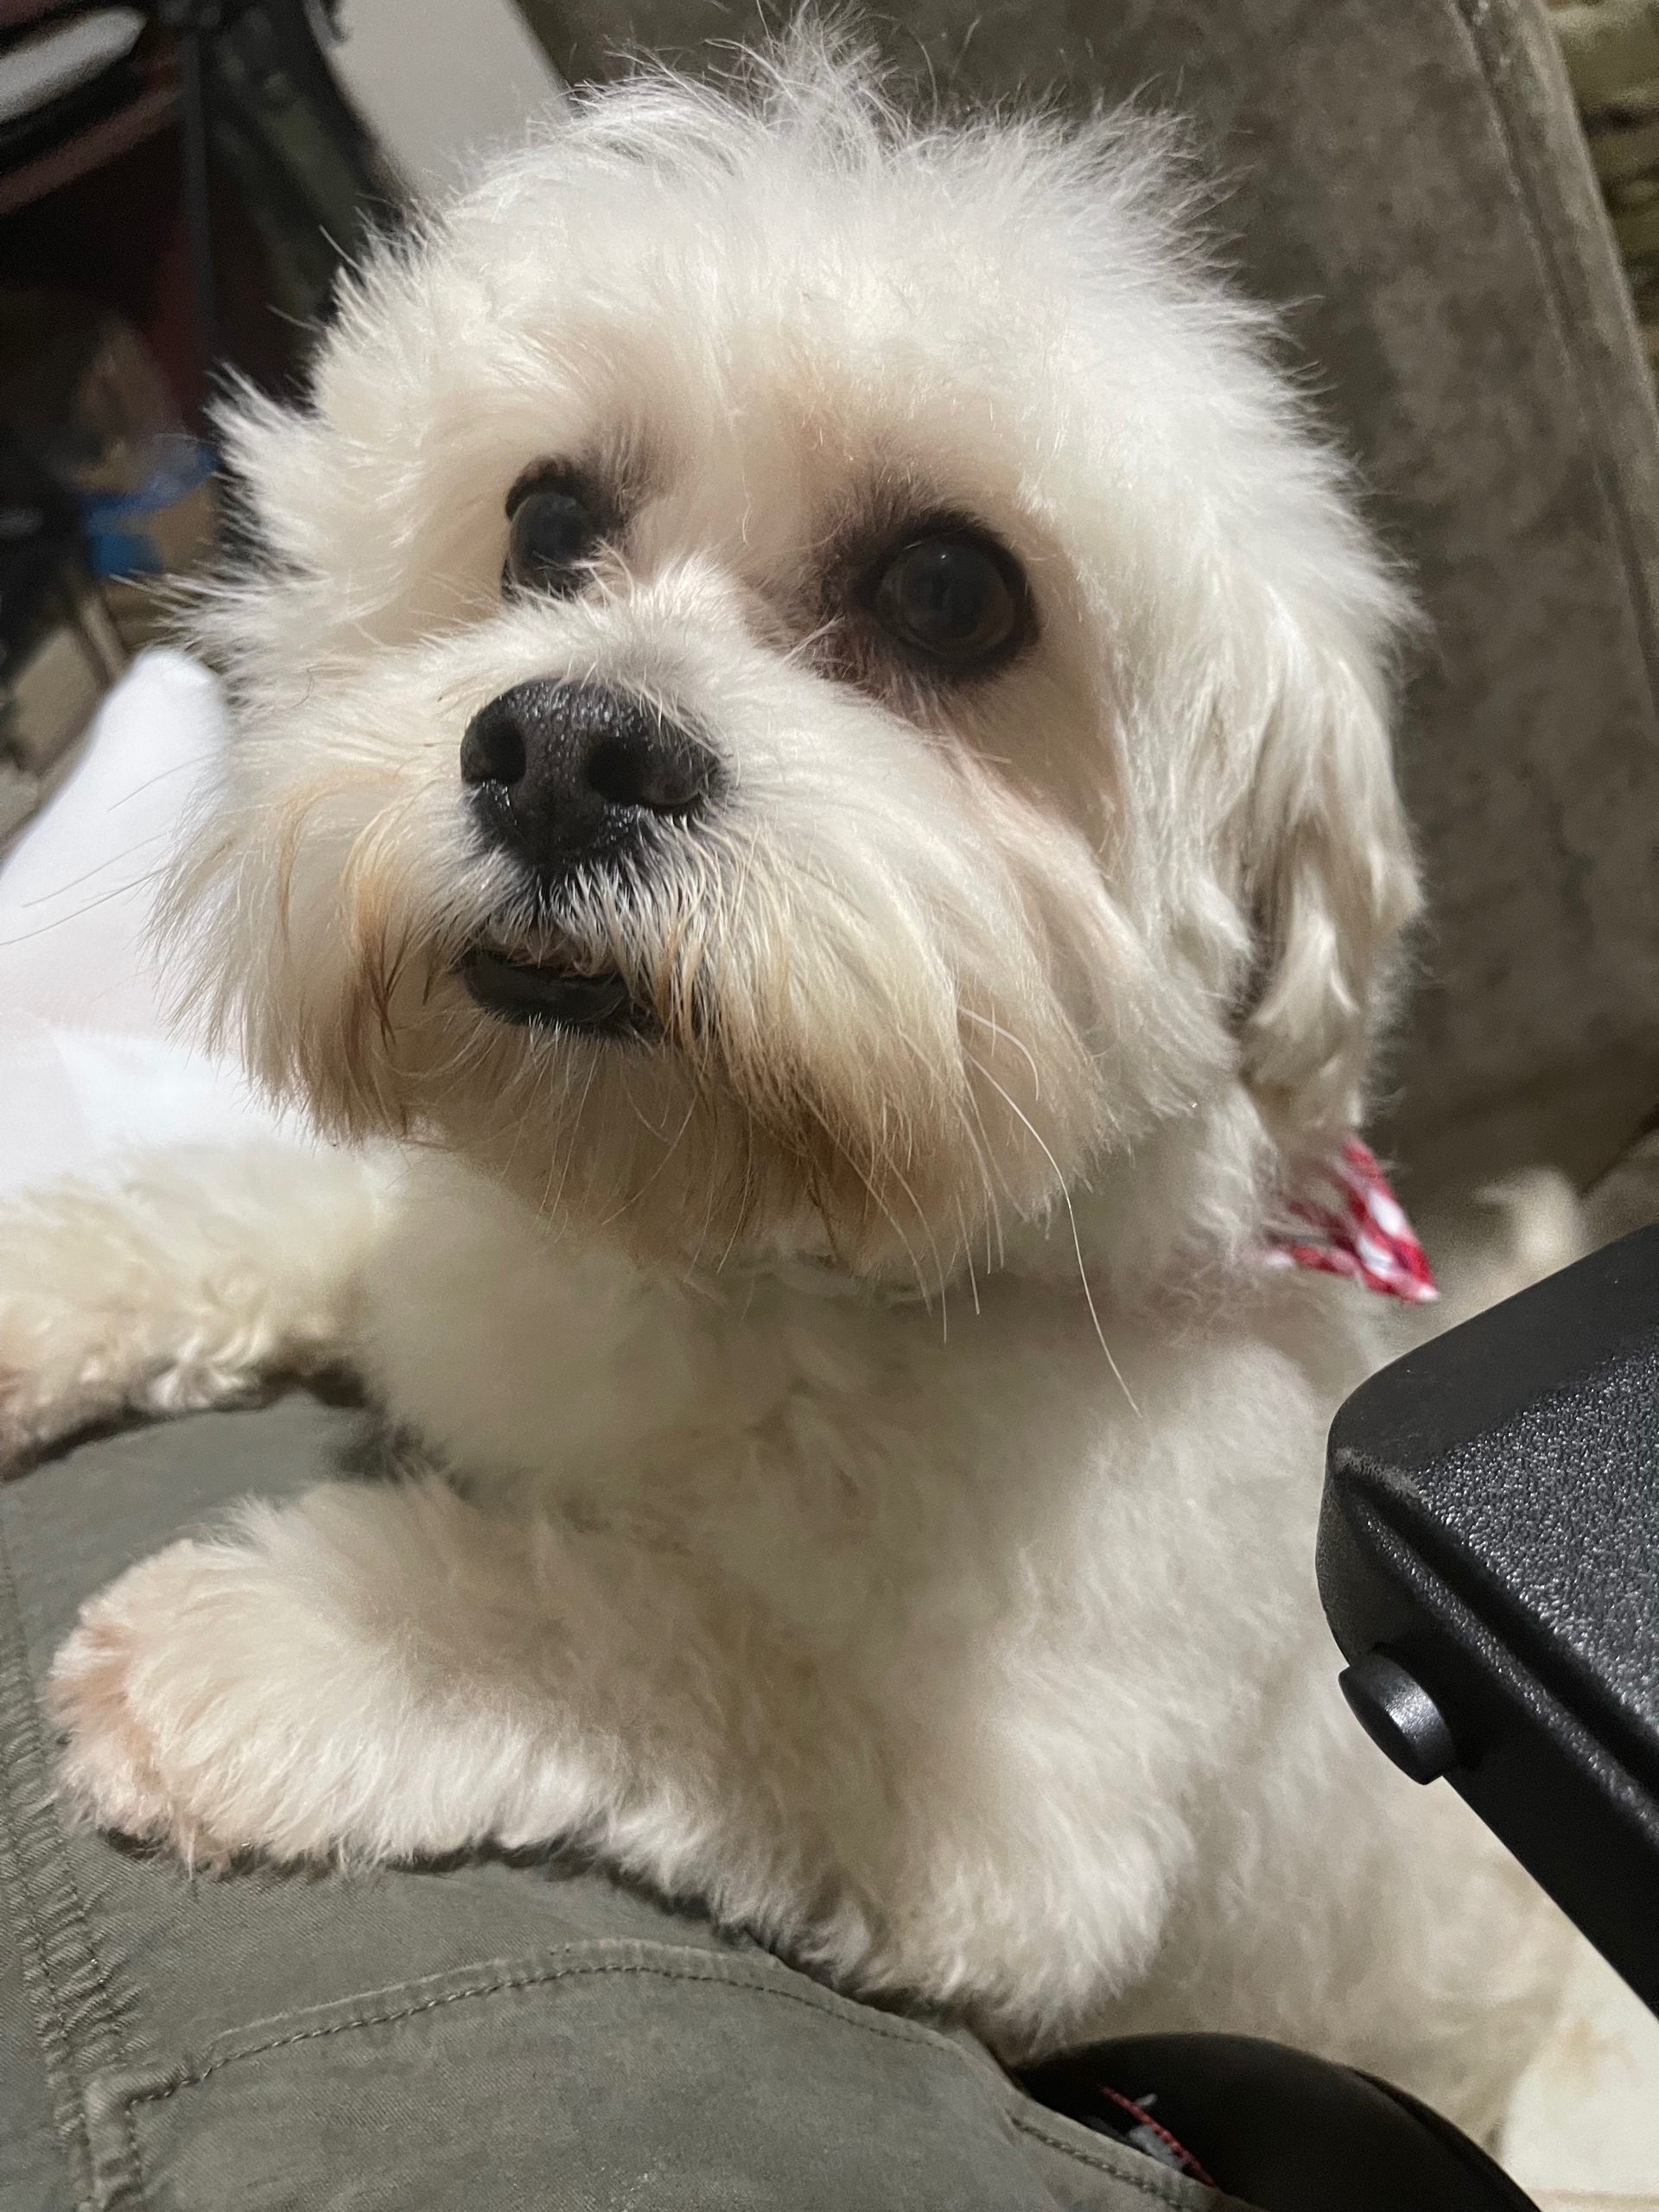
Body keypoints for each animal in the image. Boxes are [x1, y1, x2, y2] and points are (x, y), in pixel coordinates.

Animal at [0, 32, 1569, 2135]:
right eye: (546, 525)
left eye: (952, 593)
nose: (564, 749)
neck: (737, 1248)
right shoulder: (442, 1252)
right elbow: (242, 1203)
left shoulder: (1001, 1806)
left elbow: (636, 1627)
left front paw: (275, 1639)